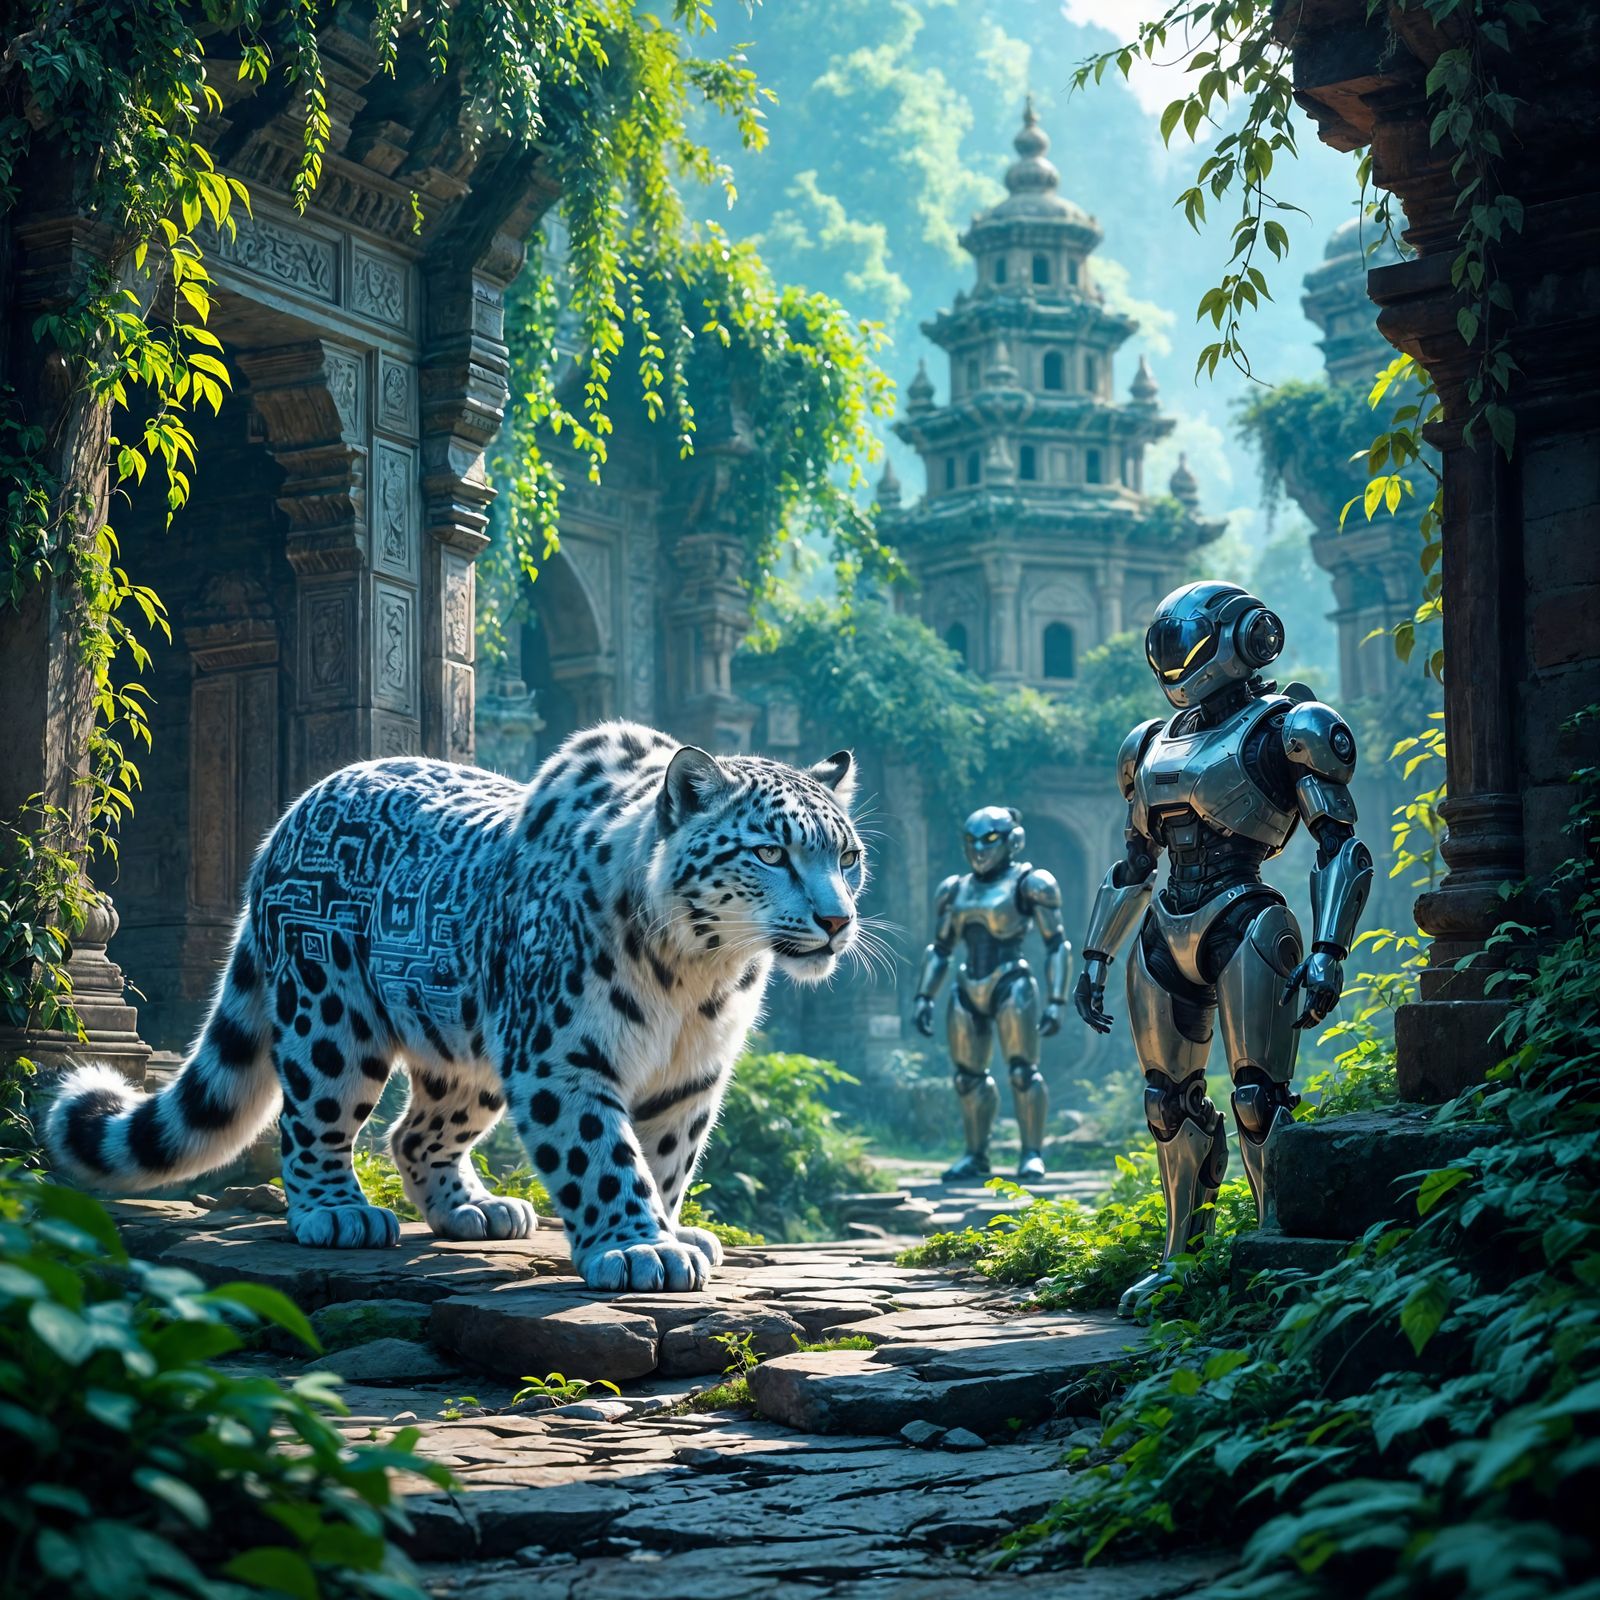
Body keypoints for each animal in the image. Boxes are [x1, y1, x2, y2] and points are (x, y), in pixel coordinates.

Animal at [45, 721, 864, 1292]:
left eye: (847, 856)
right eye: (770, 853)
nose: (837, 919)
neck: (700, 977)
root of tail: (295, 810)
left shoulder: (692, 1075)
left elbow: (666, 1158)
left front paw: (669, 1231)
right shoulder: (563, 1056)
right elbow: (602, 1154)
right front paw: (638, 1248)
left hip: (462, 1051)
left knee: (413, 1133)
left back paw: (477, 1209)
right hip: (329, 1017)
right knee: (312, 1119)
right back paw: (336, 1213)